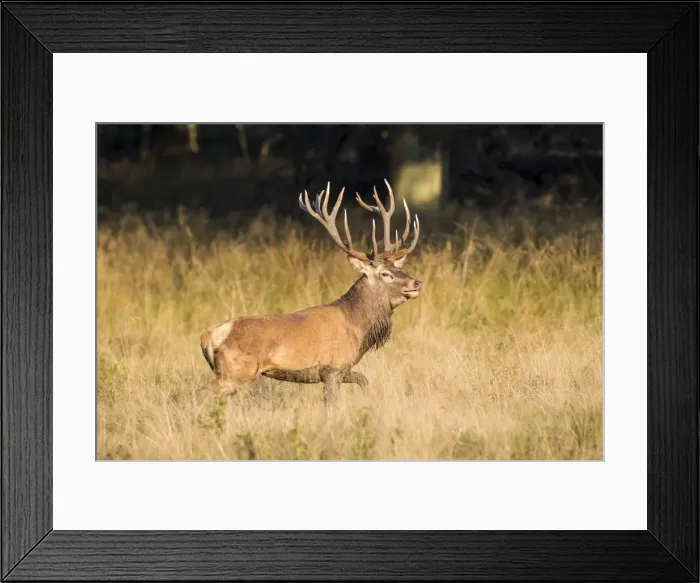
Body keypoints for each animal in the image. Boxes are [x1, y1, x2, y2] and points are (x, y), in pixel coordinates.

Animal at [199, 179, 423, 405]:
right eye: (386, 274)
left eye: (399, 268)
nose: (416, 283)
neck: (357, 327)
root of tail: (209, 336)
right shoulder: (331, 368)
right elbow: (332, 404)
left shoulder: (344, 369)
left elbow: (364, 381)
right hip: (235, 372)